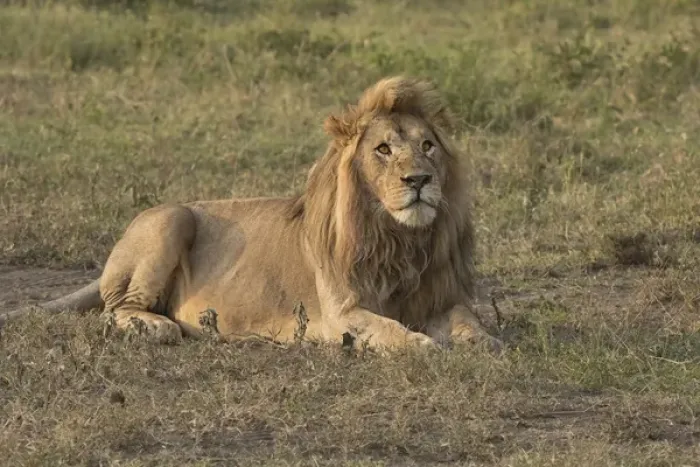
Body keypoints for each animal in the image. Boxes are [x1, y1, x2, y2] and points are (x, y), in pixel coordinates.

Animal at [1, 76, 500, 352]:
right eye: (383, 150)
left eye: (427, 146)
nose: (420, 180)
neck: (398, 238)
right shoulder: (341, 312)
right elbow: (389, 329)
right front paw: (420, 343)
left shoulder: (439, 298)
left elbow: (467, 321)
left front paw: (484, 341)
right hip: (172, 218)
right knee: (113, 310)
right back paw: (158, 327)